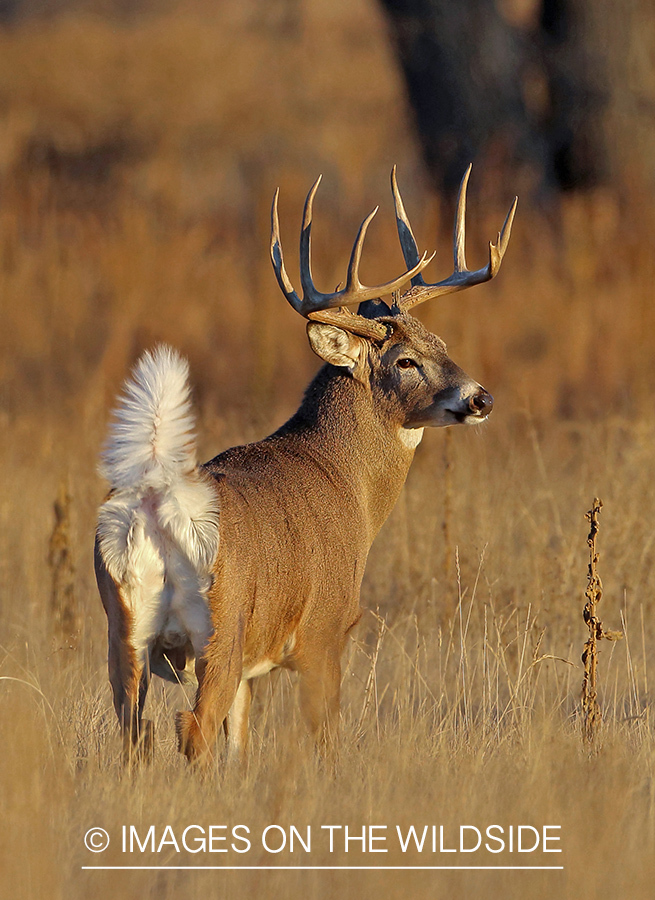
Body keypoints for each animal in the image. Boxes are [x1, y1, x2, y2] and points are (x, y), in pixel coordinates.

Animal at [96, 163, 516, 768]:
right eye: (404, 361)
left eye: (441, 341)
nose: (480, 398)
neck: (346, 482)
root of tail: (155, 507)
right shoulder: (325, 631)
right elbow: (325, 739)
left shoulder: (254, 668)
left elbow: (241, 746)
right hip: (220, 627)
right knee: (191, 727)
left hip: (122, 632)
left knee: (136, 734)